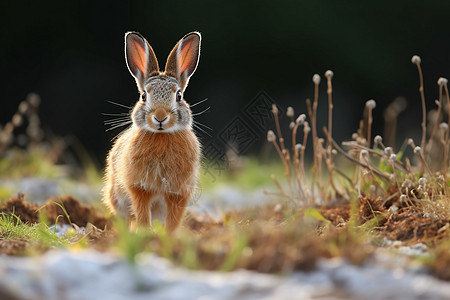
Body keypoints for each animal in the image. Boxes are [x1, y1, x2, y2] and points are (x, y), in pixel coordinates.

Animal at [103, 31, 201, 232]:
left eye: (179, 96)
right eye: (143, 96)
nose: (160, 117)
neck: (162, 136)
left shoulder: (179, 192)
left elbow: (173, 220)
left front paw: (169, 236)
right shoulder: (139, 188)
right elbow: (142, 214)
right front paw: (145, 234)